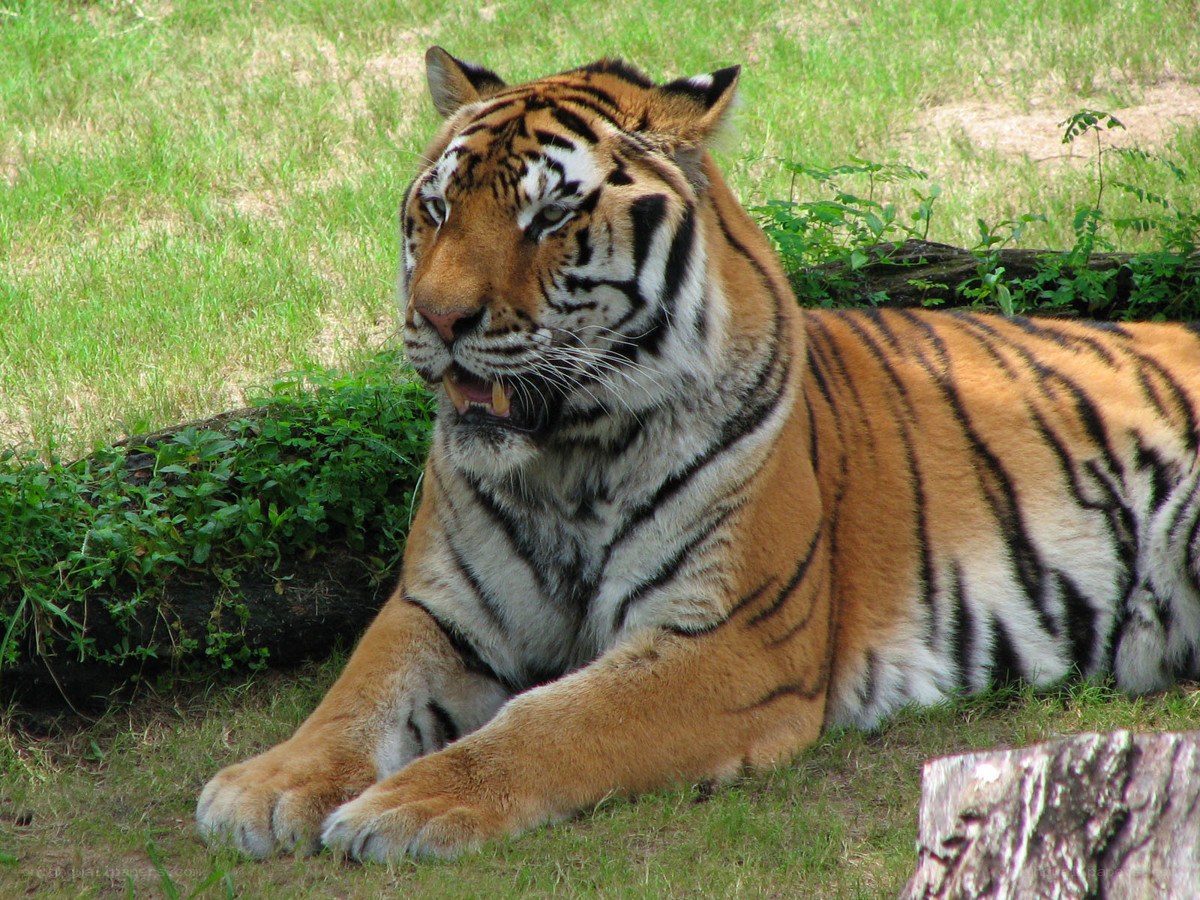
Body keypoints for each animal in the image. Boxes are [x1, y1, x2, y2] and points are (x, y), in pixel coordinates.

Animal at [197, 48, 1200, 861]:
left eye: (547, 217)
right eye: (437, 208)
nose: (438, 321)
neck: (567, 455)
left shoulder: (724, 639)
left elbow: (549, 722)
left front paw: (406, 806)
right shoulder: (439, 609)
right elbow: (356, 694)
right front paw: (267, 789)